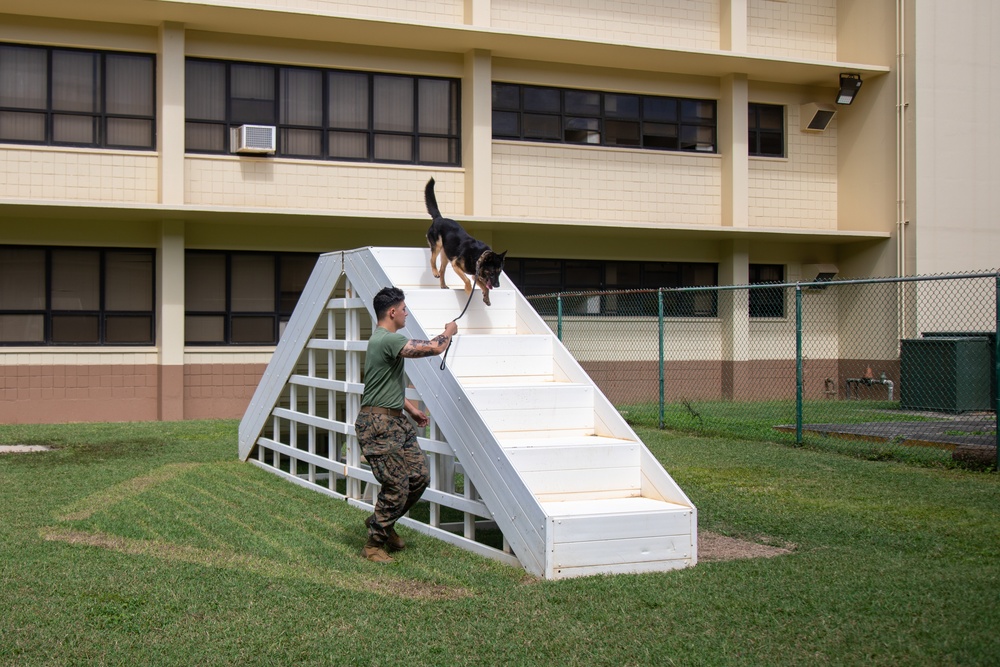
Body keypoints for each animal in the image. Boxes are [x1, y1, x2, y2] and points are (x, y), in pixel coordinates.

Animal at [424, 175, 508, 306]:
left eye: (499, 272)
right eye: (492, 272)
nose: (498, 285)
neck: (479, 257)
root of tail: (439, 218)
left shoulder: (476, 276)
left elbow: (484, 287)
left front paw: (486, 298)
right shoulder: (456, 265)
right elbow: (467, 280)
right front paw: (468, 290)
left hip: (446, 255)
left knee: (442, 270)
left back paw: (443, 285)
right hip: (437, 246)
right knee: (432, 260)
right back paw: (435, 272)